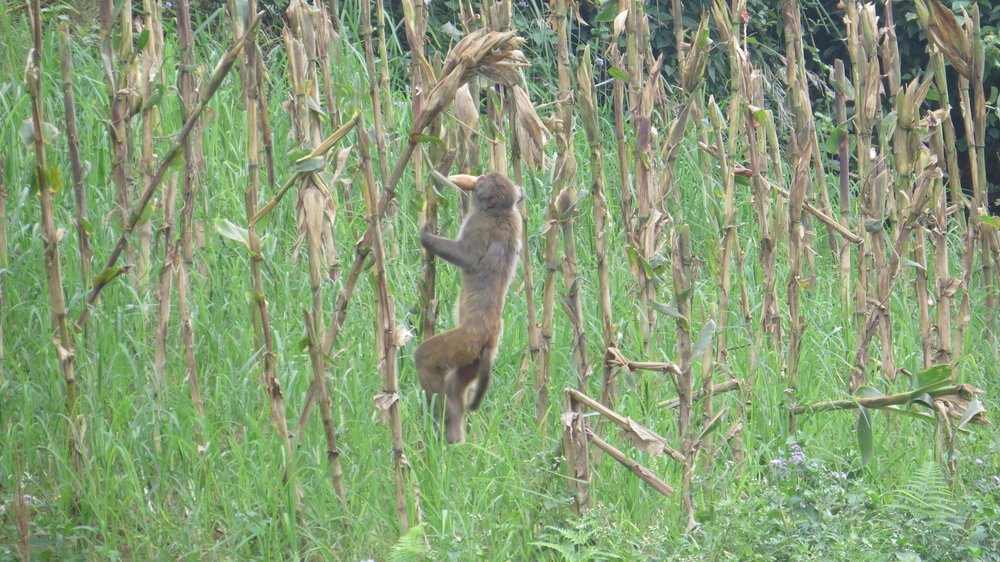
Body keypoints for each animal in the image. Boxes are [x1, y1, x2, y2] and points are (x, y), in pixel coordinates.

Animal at [414, 171, 524, 442]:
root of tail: (490, 336)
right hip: (472, 356)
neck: (500, 212)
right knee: (457, 383)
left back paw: (440, 414)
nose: (479, 175)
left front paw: (427, 235)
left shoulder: (479, 223)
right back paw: (452, 428)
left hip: (463, 342)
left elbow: (468, 257)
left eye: (484, 180)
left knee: (426, 359)